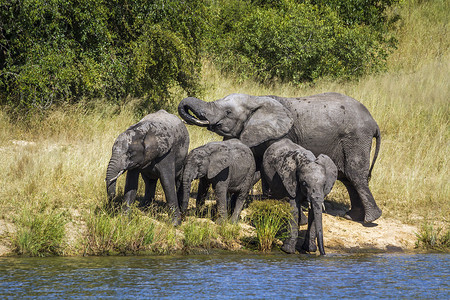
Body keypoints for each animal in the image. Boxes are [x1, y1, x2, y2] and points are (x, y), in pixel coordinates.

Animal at [178, 92, 382, 223]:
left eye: (228, 112)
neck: (256, 99)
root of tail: (374, 122)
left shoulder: (282, 134)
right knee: (347, 178)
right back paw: (352, 216)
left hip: (355, 138)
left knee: (355, 175)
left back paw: (369, 219)